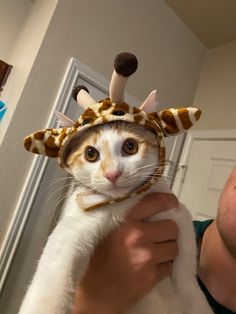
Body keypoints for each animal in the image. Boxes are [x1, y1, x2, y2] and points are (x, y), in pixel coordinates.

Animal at [19, 52, 214, 312]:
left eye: (130, 146)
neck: (123, 204)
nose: (112, 174)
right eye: (91, 154)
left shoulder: (177, 213)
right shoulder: (77, 225)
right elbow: (56, 264)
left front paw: (196, 301)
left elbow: (186, 272)